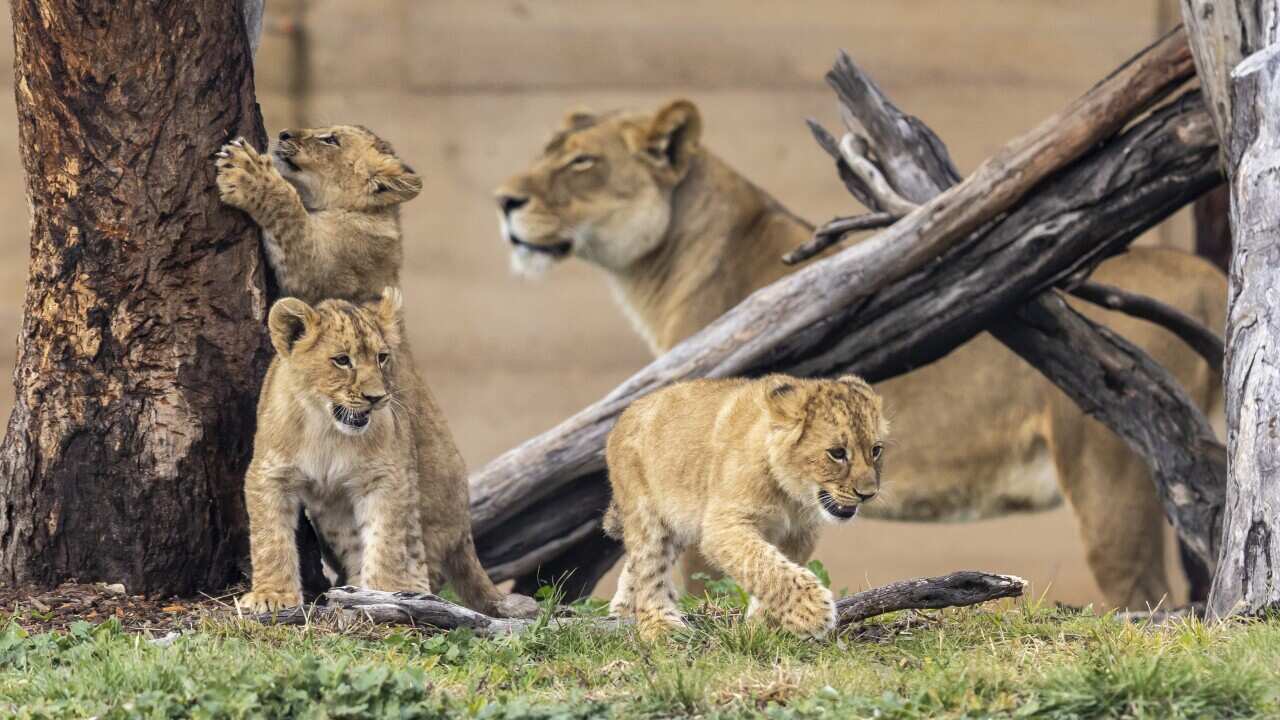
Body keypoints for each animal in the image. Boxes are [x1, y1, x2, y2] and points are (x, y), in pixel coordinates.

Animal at [217, 129, 537, 618]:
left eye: (330, 139)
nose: (284, 134)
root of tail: (466, 532)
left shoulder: (318, 271)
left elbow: (290, 216)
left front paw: (246, 173)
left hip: (420, 508)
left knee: (413, 560)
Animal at [605, 374, 887, 639]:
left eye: (875, 450)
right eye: (837, 453)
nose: (867, 494)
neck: (792, 496)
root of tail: (628, 412)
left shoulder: (800, 533)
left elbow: (779, 568)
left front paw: (761, 626)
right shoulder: (724, 526)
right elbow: (764, 565)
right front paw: (813, 610)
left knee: (636, 564)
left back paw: (622, 611)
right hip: (646, 513)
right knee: (650, 570)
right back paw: (661, 627)